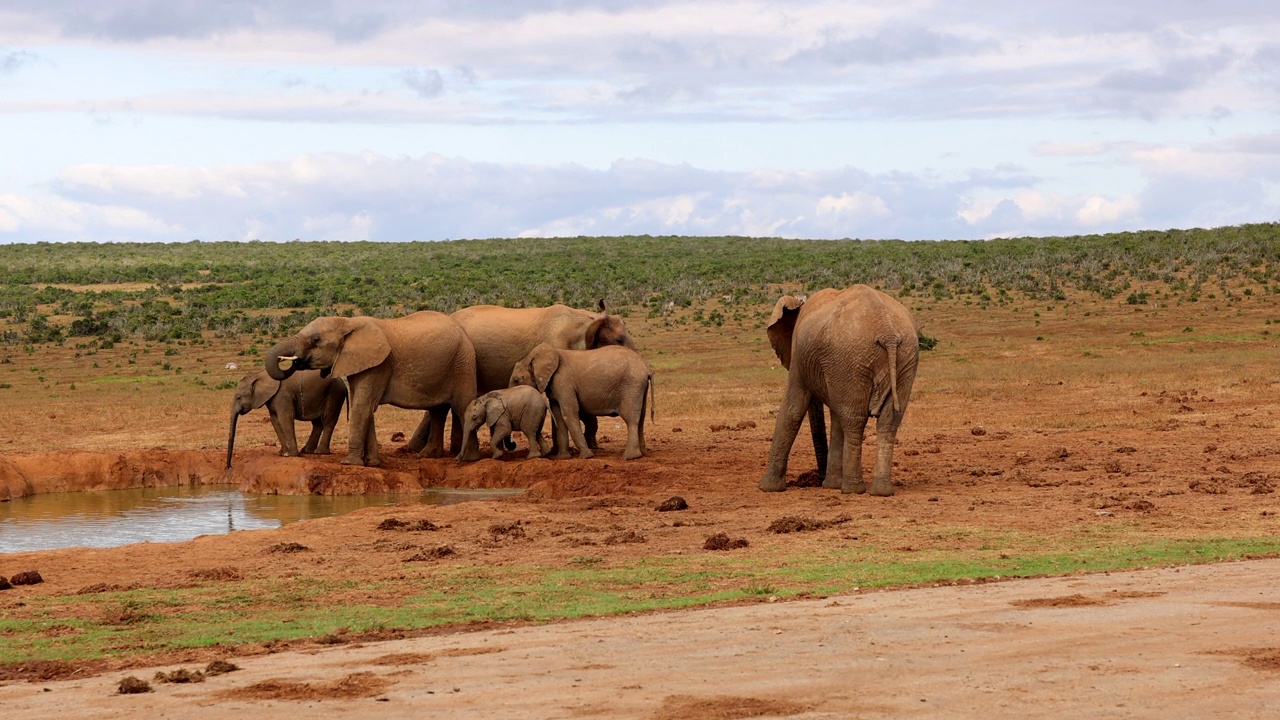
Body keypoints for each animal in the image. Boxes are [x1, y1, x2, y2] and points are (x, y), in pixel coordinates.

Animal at [263, 308, 481, 466]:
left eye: (315, 340)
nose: (294, 362)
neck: (348, 322)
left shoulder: (379, 364)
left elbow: (362, 405)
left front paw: (350, 463)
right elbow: (366, 407)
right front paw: (372, 463)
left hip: (463, 362)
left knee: (463, 405)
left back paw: (469, 460)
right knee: (438, 410)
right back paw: (428, 456)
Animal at [506, 340, 655, 458]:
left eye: (517, 380)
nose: (513, 445)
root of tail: (646, 368)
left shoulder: (563, 382)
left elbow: (569, 413)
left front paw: (586, 457)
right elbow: (559, 416)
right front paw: (562, 458)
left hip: (631, 385)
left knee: (630, 418)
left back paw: (630, 457)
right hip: (638, 387)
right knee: (641, 418)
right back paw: (643, 453)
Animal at [757, 284, 921, 491]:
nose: (817, 478)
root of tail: (888, 333)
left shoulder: (800, 358)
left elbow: (793, 408)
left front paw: (767, 488)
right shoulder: (835, 370)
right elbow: (835, 416)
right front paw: (832, 485)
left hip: (853, 357)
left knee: (854, 420)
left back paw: (852, 489)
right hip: (904, 356)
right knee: (888, 421)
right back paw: (880, 491)